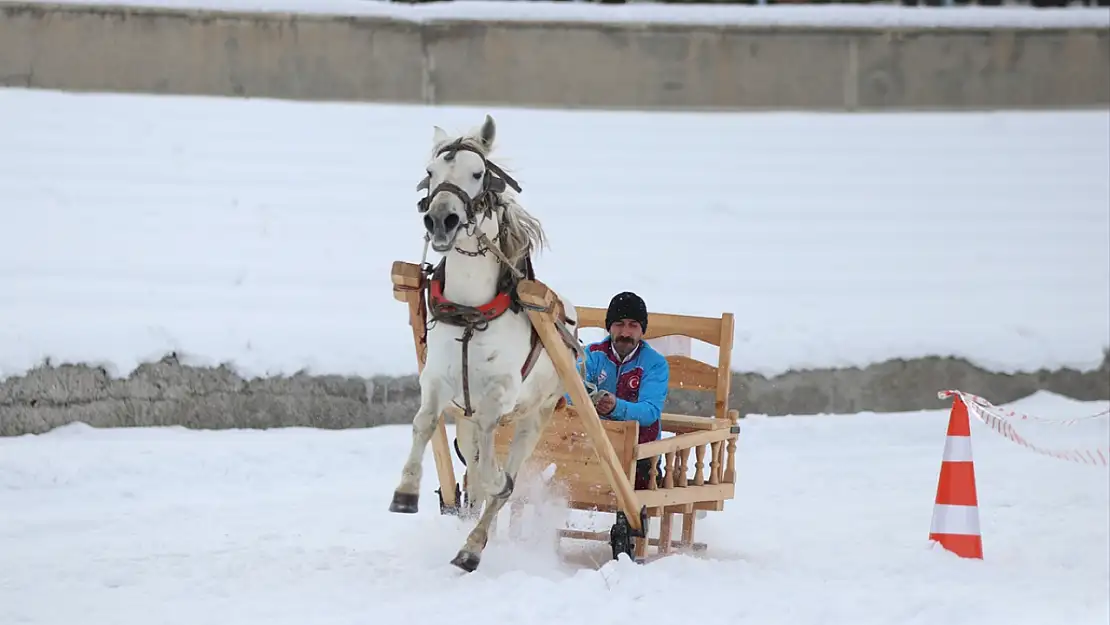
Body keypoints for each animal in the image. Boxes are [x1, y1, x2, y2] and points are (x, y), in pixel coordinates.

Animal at [390, 112, 581, 572]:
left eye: (478, 174)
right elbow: (423, 423)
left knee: (504, 481)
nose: (440, 220)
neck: (469, 312)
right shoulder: (437, 381)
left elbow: (498, 470)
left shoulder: (501, 393)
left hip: (537, 415)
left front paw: (496, 481)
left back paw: (472, 547)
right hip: (467, 421)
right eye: (430, 172)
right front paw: (405, 491)